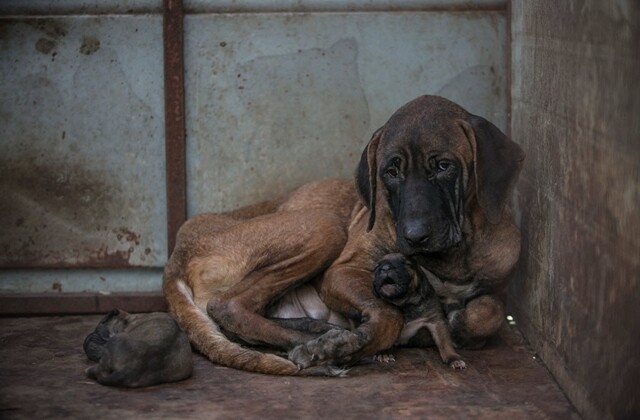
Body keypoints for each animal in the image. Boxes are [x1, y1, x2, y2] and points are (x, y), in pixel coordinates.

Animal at [162, 96, 524, 378]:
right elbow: (388, 314)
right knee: (228, 306)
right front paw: (350, 344)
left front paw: (460, 324)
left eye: (444, 166)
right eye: (391, 172)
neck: (450, 257)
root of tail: (175, 255)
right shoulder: (343, 272)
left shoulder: (497, 285)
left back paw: (318, 332)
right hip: (325, 223)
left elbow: (488, 312)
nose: (414, 236)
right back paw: (320, 341)